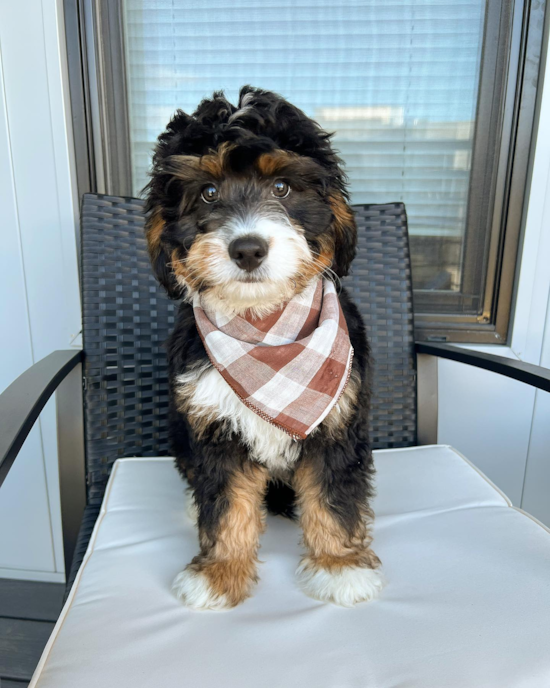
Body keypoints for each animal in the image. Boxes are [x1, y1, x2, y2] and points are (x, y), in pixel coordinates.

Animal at [144, 84, 386, 608]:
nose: (248, 249)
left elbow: (333, 496)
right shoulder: (213, 425)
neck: (265, 327)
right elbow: (226, 503)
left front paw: (340, 566)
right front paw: (220, 572)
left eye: (282, 188)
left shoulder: (339, 422)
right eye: (208, 192)